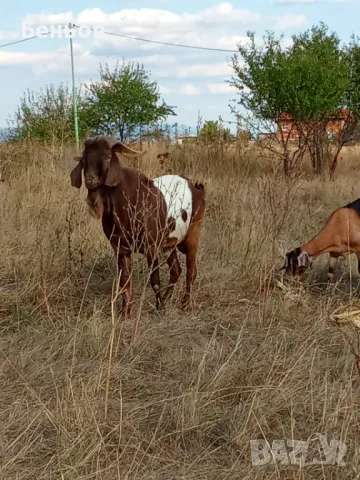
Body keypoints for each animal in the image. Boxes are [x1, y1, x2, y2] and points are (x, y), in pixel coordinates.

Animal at [70, 134, 205, 318]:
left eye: (108, 156)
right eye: (84, 159)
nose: (90, 180)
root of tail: (197, 188)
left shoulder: (151, 247)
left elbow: (154, 279)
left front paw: (160, 308)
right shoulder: (120, 249)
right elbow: (125, 281)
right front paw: (125, 313)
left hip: (193, 234)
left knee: (191, 271)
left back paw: (185, 304)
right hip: (169, 243)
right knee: (176, 270)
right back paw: (168, 298)